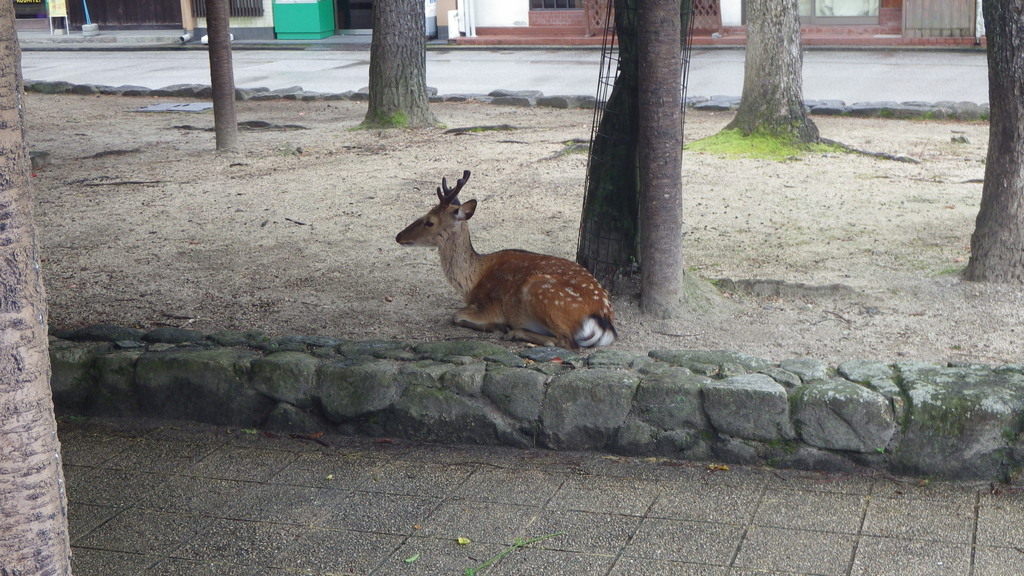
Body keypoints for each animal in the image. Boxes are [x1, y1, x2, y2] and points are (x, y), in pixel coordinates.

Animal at [391, 169, 614, 350]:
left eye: (429, 222)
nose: (399, 236)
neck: (472, 280)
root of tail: (603, 320)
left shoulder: (491, 305)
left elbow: (455, 316)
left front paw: (496, 326)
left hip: (542, 292)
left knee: (565, 341)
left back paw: (513, 332)